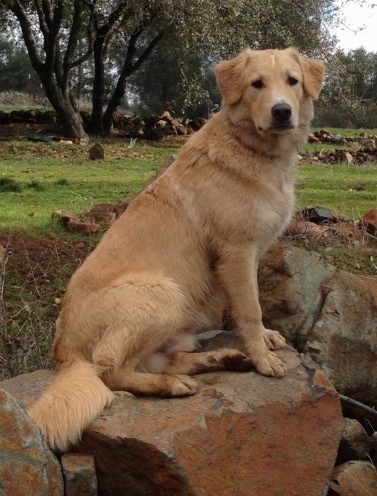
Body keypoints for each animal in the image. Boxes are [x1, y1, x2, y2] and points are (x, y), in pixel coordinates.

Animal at [28, 48, 324, 452]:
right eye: (256, 84)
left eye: (292, 81)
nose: (282, 111)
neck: (253, 149)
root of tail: (64, 353)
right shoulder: (237, 253)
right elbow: (250, 310)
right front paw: (262, 358)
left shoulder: (250, 256)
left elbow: (253, 308)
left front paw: (262, 343)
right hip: (163, 294)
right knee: (110, 371)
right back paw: (171, 386)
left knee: (160, 360)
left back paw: (218, 360)